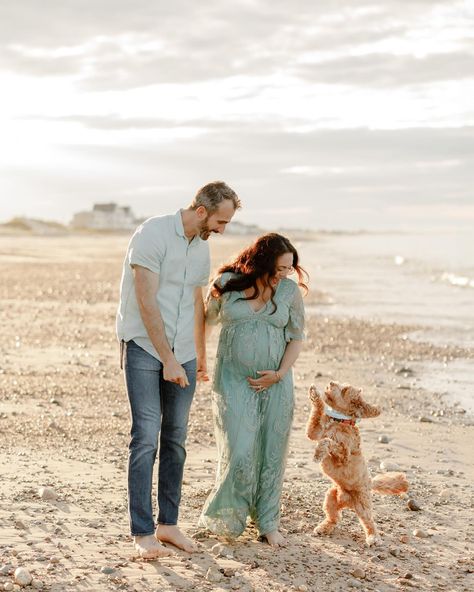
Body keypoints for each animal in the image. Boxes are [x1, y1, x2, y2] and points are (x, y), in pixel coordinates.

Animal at [306, 384, 410, 544]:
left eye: (344, 390)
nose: (331, 383)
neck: (340, 422)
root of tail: (370, 482)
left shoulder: (344, 456)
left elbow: (329, 442)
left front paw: (319, 452)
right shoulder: (315, 432)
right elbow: (316, 416)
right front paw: (314, 394)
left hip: (362, 505)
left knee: (368, 522)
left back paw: (373, 537)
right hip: (331, 497)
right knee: (334, 518)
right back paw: (324, 527)